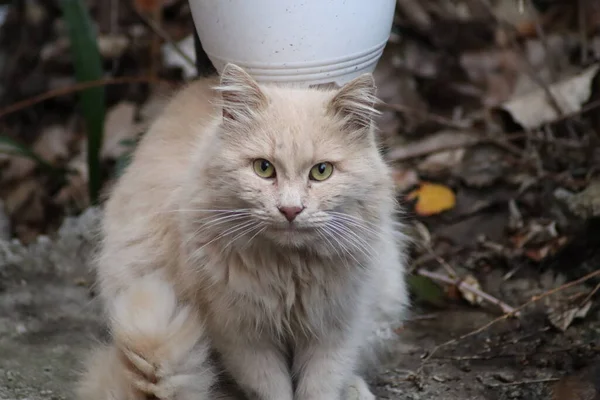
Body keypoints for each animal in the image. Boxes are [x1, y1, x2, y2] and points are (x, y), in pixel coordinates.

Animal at [76, 64, 408, 398]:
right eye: (263, 168)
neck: (289, 271)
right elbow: (274, 389)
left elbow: (321, 386)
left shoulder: (335, 330)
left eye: (321, 171)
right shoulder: (243, 338)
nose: (290, 210)